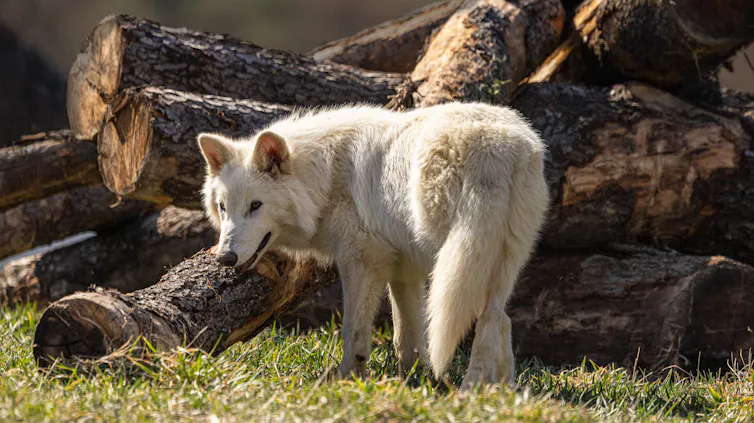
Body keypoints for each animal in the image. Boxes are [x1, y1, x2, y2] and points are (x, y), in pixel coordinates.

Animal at [197, 101, 549, 388]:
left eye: (256, 206)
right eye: (223, 207)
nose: (225, 257)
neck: (324, 178)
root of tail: (497, 147)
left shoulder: (362, 262)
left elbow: (353, 332)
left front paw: (346, 381)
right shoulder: (404, 272)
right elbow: (406, 338)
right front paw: (413, 383)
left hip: (453, 262)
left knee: (486, 318)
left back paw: (469, 392)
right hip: (495, 262)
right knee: (499, 318)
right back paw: (498, 391)